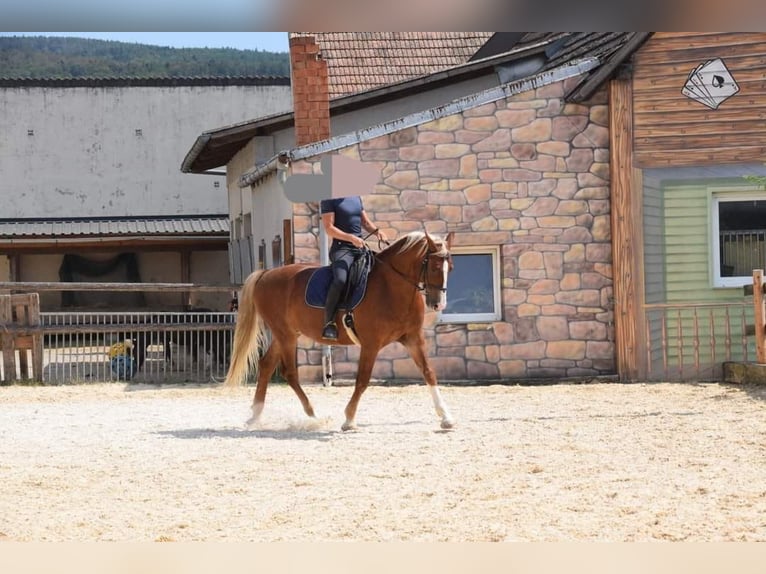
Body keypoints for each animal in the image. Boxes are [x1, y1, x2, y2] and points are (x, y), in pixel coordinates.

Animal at [225, 230, 460, 432]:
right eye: (434, 267)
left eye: (451, 267)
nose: (439, 304)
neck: (392, 287)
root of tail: (266, 273)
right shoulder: (371, 344)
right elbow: (363, 380)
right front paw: (349, 419)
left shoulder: (413, 339)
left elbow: (429, 372)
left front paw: (446, 417)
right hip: (286, 335)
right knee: (289, 373)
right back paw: (314, 416)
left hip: (287, 334)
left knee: (266, 365)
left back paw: (256, 415)